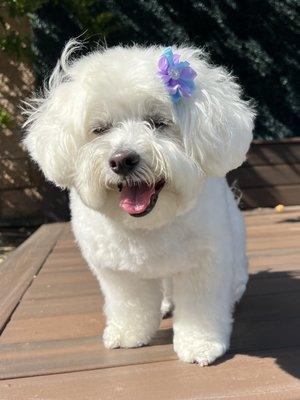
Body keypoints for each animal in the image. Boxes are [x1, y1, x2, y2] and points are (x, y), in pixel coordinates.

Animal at [22, 39, 255, 366]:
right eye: (100, 129)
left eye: (158, 123)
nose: (122, 160)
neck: (148, 224)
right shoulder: (118, 273)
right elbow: (129, 303)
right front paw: (129, 333)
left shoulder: (204, 264)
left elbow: (200, 308)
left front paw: (200, 343)